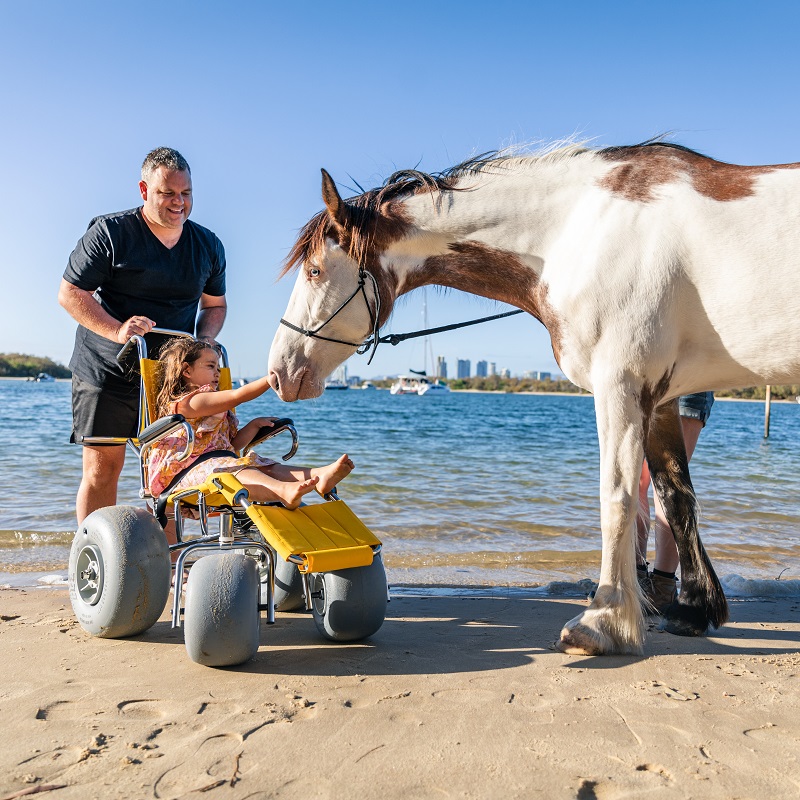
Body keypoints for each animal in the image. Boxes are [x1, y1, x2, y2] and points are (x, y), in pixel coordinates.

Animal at [268, 142, 800, 656]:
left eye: (314, 270)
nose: (278, 372)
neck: (579, 231)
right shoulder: (661, 398)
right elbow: (675, 497)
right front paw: (693, 608)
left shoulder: (621, 385)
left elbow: (618, 498)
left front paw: (604, 621)